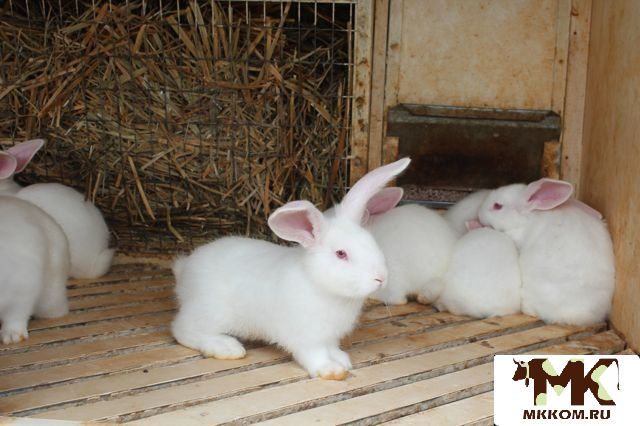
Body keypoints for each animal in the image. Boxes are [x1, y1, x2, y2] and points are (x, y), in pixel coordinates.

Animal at [171, 158, 411, 380]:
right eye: (341, 254)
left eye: (372, 242)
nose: (381, 278)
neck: (319, 284)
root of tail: (185, 269)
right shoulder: (306, 337)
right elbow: (315, 355)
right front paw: (331, 370)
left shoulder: (329, 337)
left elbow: (332, 349)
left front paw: (342, 360)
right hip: (211, 312)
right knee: (182, 330)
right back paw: (226, 347)